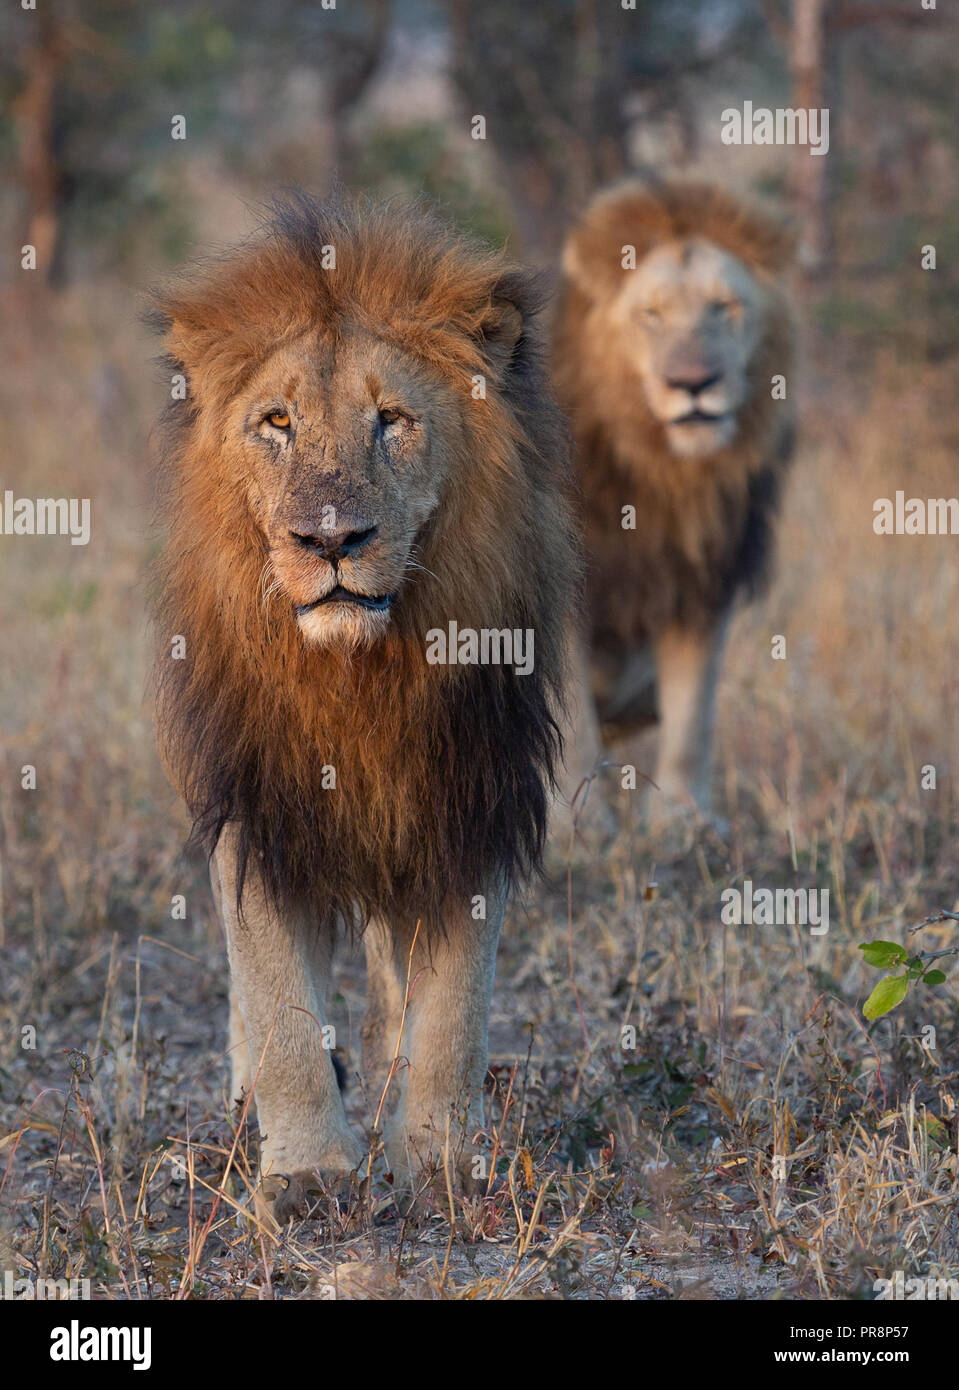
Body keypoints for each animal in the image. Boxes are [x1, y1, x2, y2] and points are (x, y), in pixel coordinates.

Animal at [150, 193, 577, 1220]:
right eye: (276, 423)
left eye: (392, 420)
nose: (332, 539)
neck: (358, 677)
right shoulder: (254, 807)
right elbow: (277, 1002)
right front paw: (307, 1170)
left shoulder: (472, 796)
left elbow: (453, 1010)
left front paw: (440, 1161)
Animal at [553, 180, 795, 825]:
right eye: (651, 316)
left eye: (724, 308)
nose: (693, 383)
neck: (665, 472)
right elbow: (570, 721)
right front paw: (579, 824)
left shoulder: (702, 583)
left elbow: (693, 716)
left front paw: (686, 820)